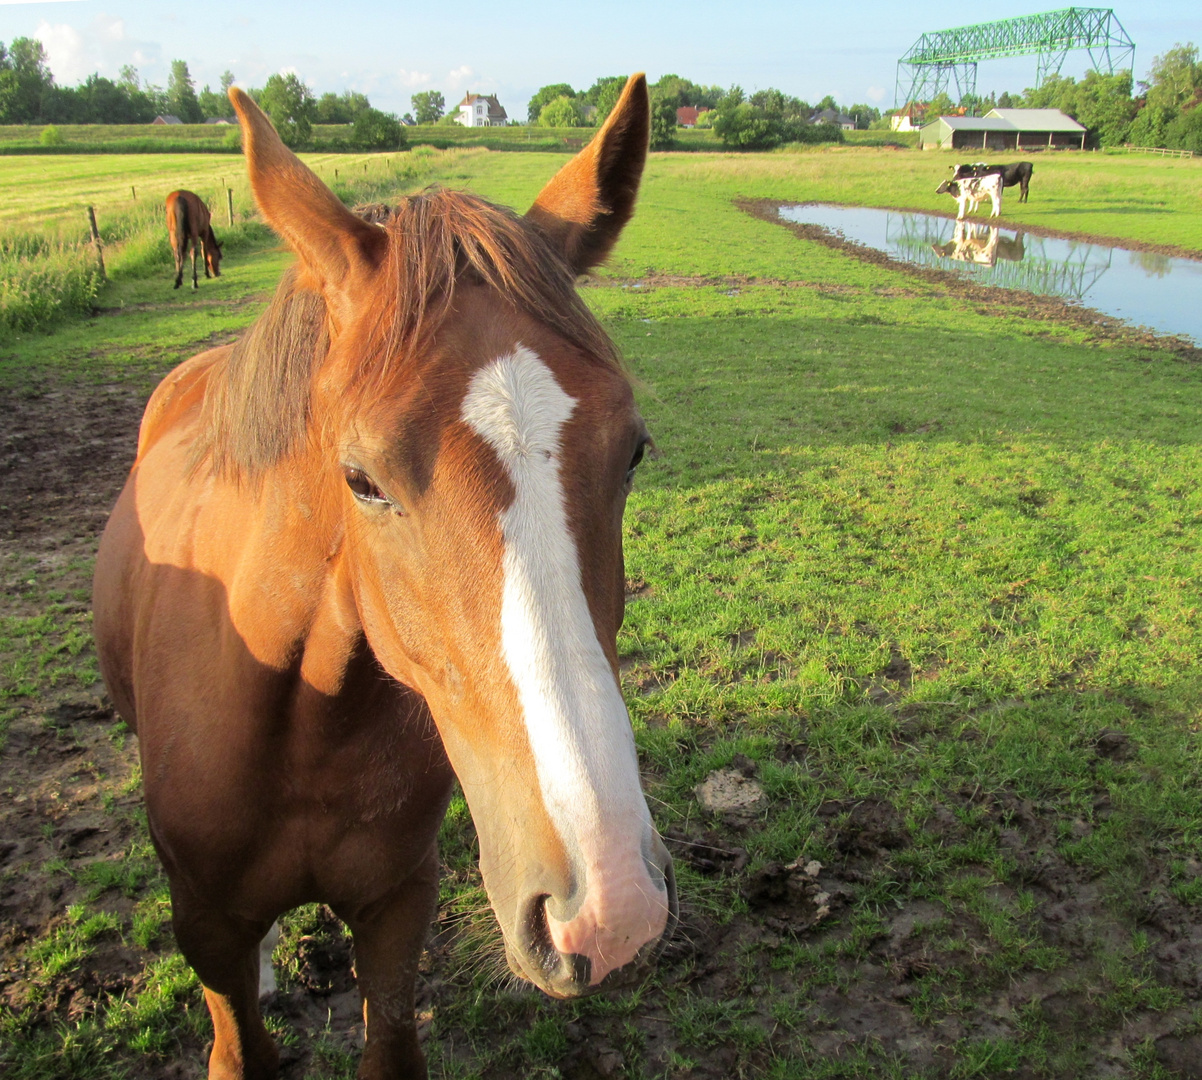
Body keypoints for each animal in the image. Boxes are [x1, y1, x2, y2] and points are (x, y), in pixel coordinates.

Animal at [93, 71, 677, 1076]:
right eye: (361, 480)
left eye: (634, 452)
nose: (611, 906)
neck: (301, 723)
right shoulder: (205, 924)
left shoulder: (398, 909)